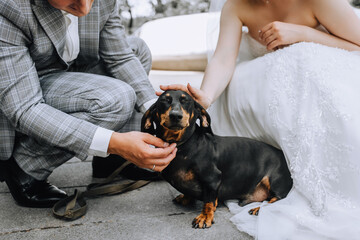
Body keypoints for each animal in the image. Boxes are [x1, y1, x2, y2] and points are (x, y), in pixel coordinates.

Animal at [141, 90, 292, 229]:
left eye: (187, 101)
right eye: (164, 101)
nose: (176, 115)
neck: (183, 146)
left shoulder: (212, 178)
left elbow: (209, 201)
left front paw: (205, 217)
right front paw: (185, 197)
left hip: (275, 181)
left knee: (277, 200)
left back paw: (259, 208)